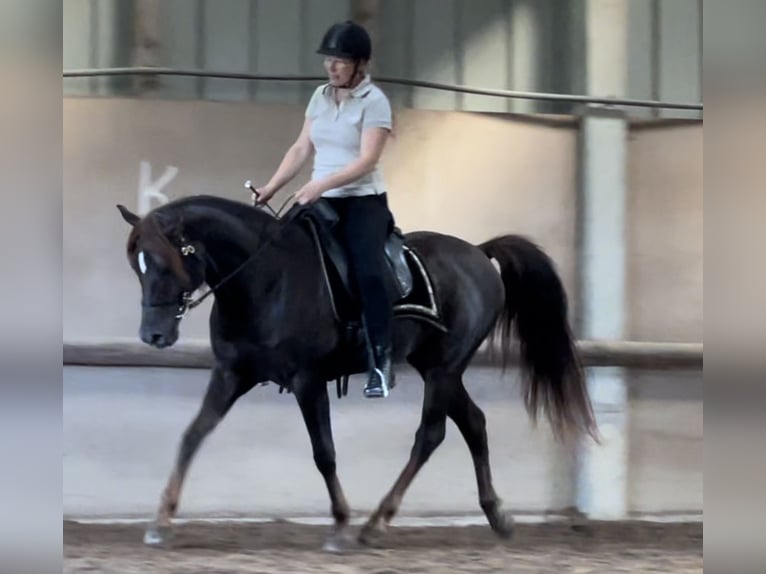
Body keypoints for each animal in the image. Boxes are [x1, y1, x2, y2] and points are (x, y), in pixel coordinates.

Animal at [116, 194, 598, 552]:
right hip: (438, 367)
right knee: (473, 423)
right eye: (136, 264)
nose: (153, 335)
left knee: (431, 434)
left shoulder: (308, 380)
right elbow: (192, 435)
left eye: (164, 261)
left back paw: (376, 522)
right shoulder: (231, 374)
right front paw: (161, 521)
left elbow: (324, 453)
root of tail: (479, 254)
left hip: (443, 370)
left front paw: (342, 525)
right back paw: (497, 515)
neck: (265, 279)